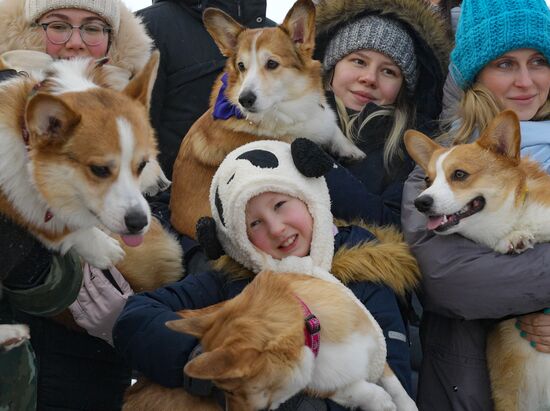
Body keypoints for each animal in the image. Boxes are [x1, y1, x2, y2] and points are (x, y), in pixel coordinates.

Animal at [168, 270, 418, 411]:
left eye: (230, 392)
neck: (313, 334)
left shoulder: (377, 353)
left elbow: (396, 386)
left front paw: (407, 405)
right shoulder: (320, 386)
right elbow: (353, 389)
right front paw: (380, 401)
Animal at [170, 0, 364, 238]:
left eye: (272, 64)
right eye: (241, 66)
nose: (244, 100)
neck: (287, 106)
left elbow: (333, 128)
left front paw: (352, 150)